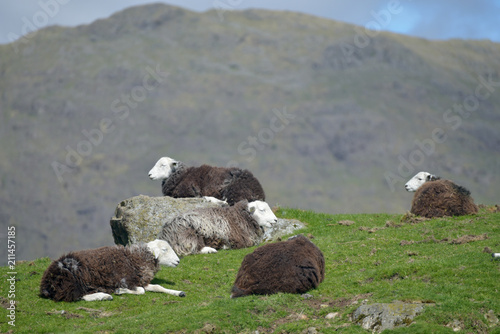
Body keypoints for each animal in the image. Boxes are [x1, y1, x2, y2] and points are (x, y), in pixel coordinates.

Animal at [38, 239, 185, 302]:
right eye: (164, 250)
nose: (178, 261)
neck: (137, 257)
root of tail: (45, 283)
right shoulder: (126, 280)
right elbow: (140, 291)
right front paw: (120, 291)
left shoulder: (140, 280)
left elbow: (158, 287)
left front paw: (178, 292)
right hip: (72, 282)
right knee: (77, 296)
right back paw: (103, 296)